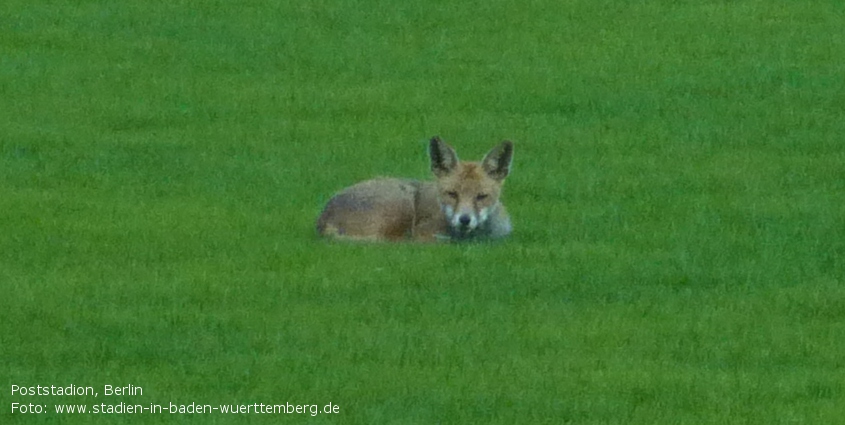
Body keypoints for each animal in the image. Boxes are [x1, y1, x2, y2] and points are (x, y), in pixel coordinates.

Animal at [316, 136, 516, 242]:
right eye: (452, 194)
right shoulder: (423, 232)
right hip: (402, 203)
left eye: (481, 196)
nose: (464, 220)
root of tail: (323, 219)